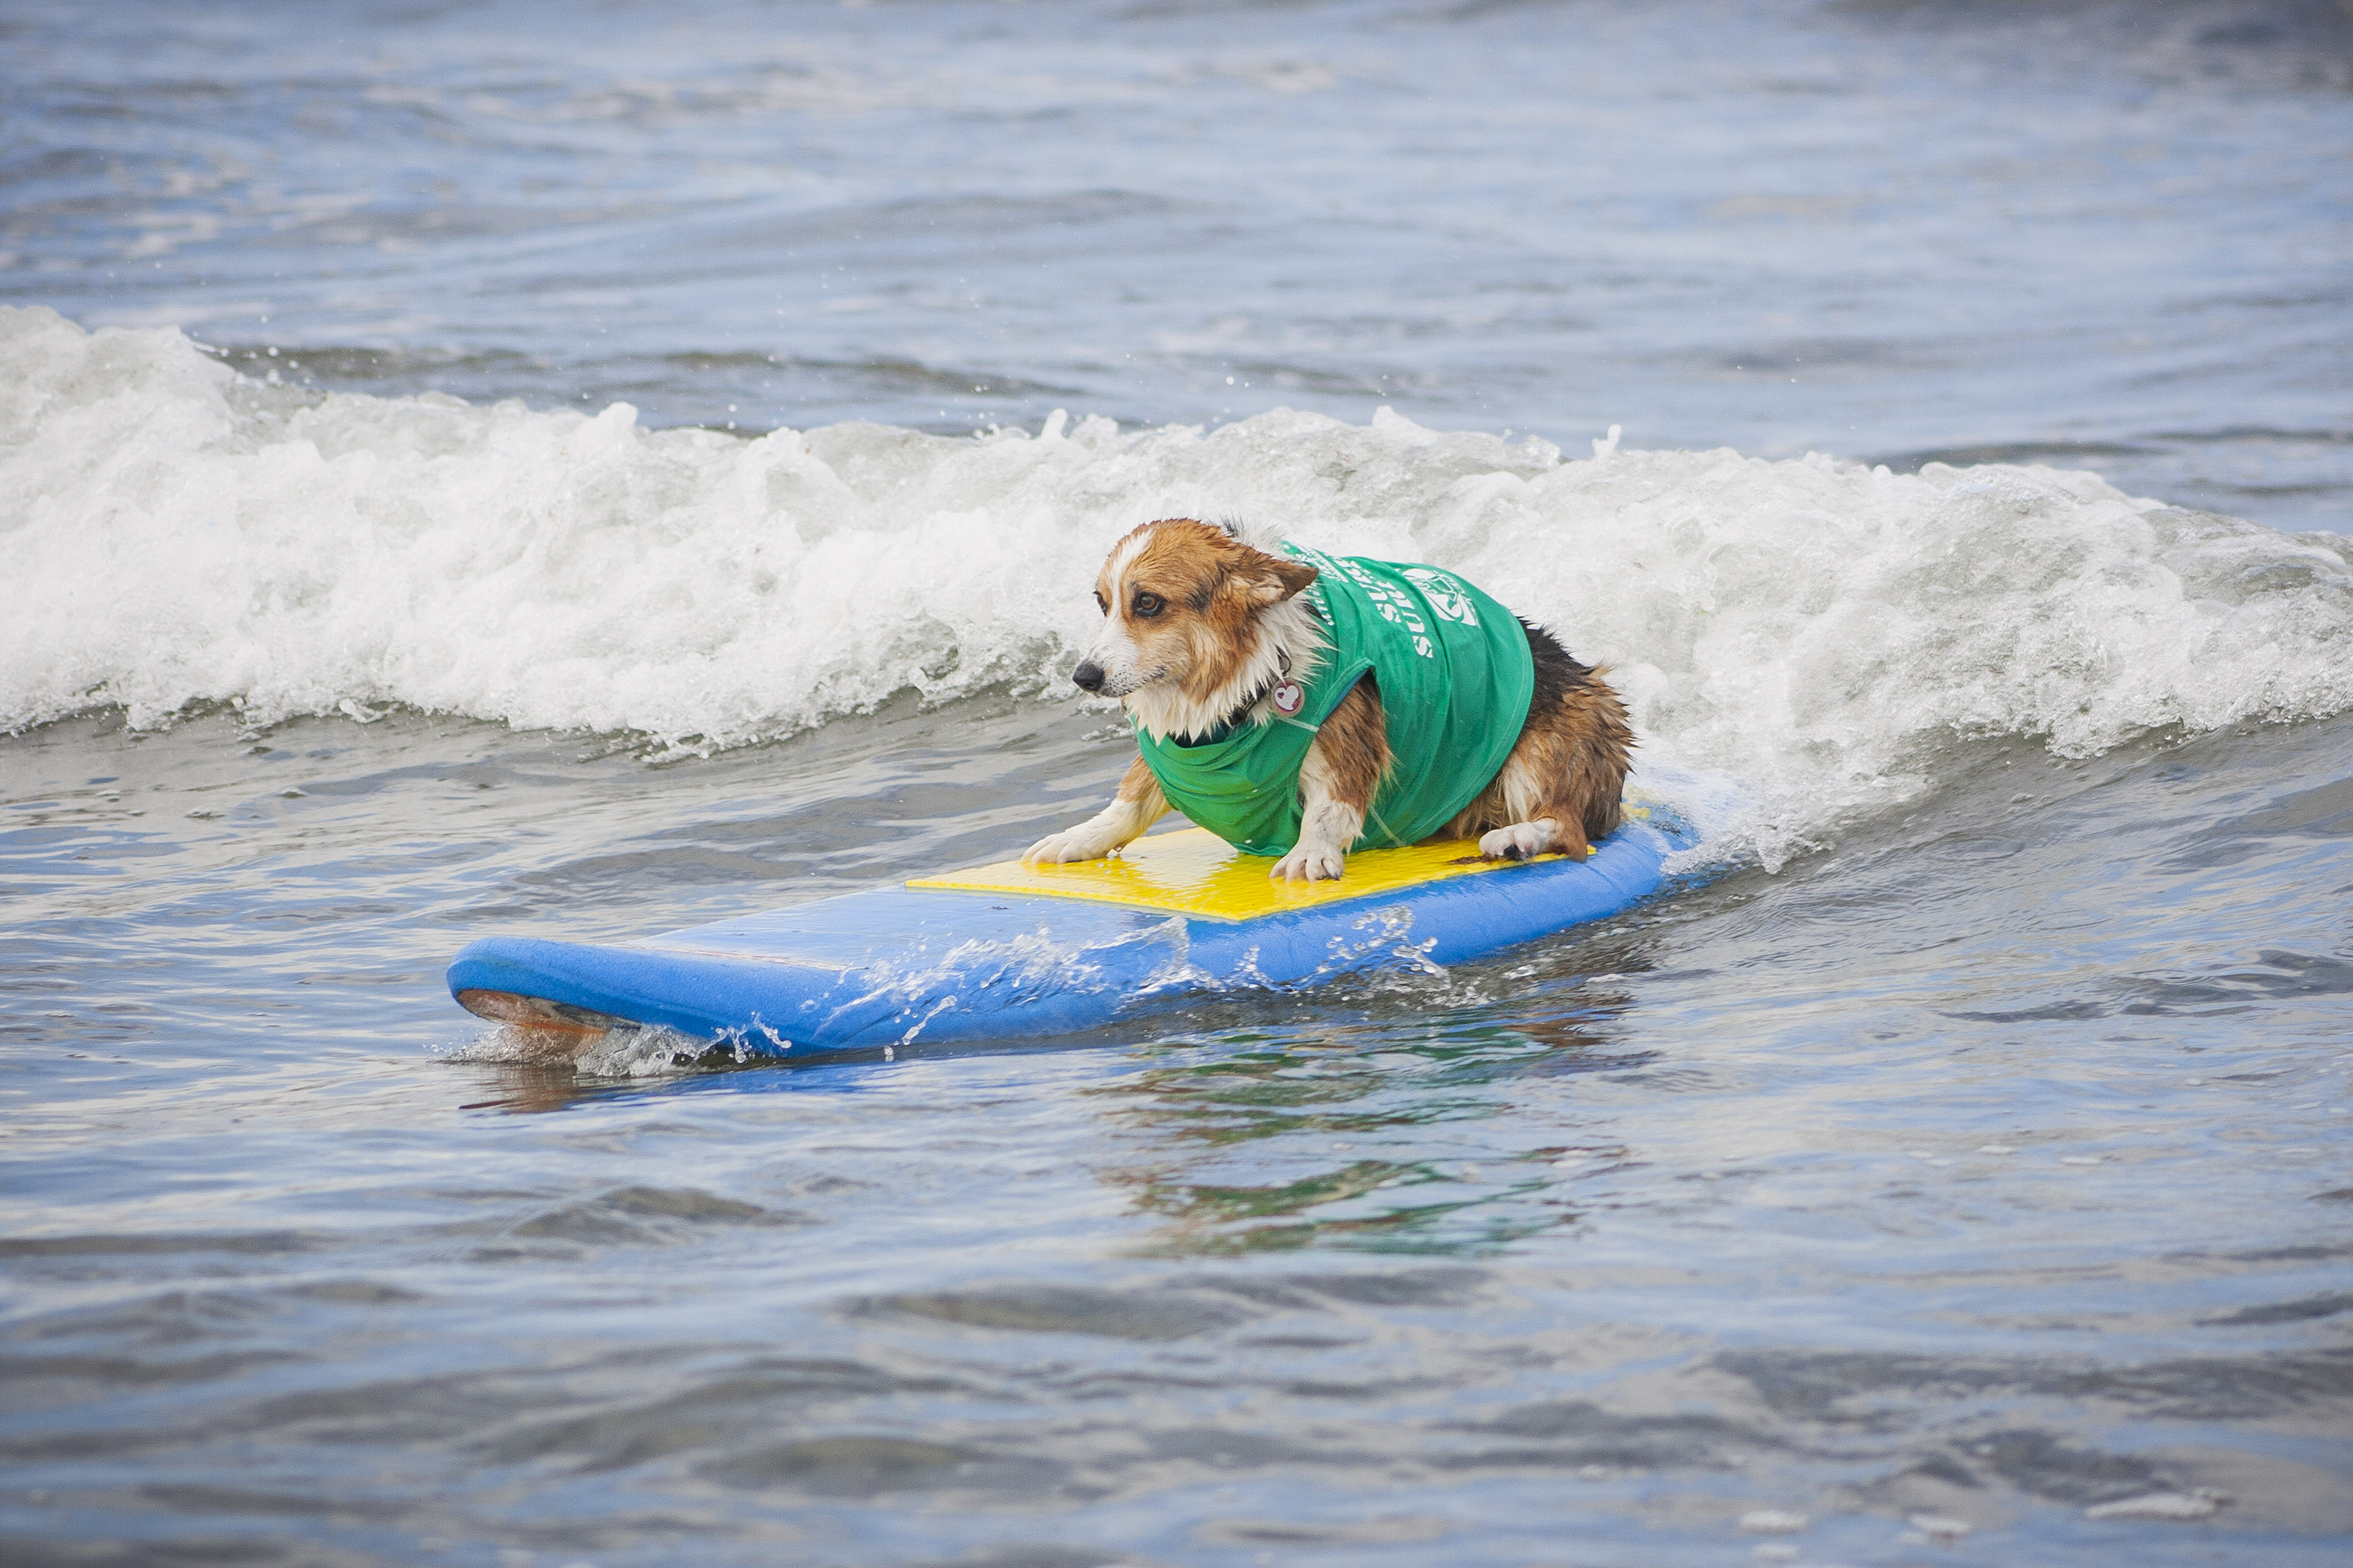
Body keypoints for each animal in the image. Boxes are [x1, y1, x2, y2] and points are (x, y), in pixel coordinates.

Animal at [1030, 522, 1637, 880]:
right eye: (1103, 603)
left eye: (1149, 603)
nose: (1084, 676)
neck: (1247, 679)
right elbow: (1130, 799)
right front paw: (1077, 838)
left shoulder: (1346, 740)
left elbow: (1331, 806)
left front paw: (1308, 854)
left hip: (1543, 747)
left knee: (1570, 829)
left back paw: (1516, 836)